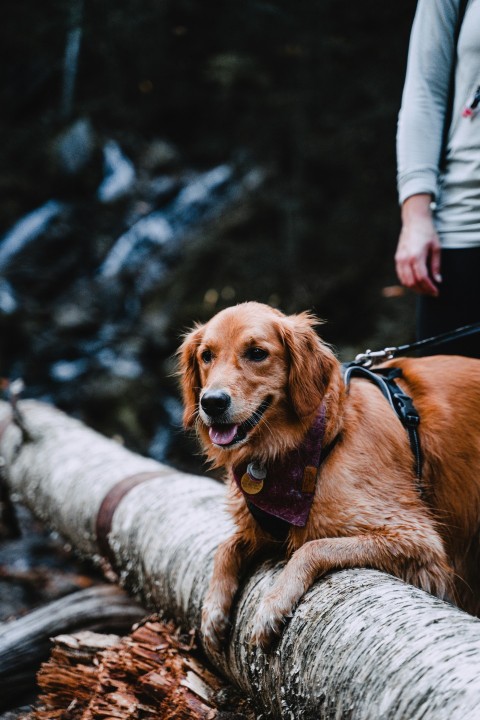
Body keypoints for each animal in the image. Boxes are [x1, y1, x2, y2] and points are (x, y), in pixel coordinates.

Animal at [178, 300, 480, 648]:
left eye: (256, 353)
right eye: (206, 355)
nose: (212, 403)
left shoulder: (417, 542)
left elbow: (313, 546)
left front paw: (273, 604)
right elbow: (226, 547)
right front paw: (213, 610)